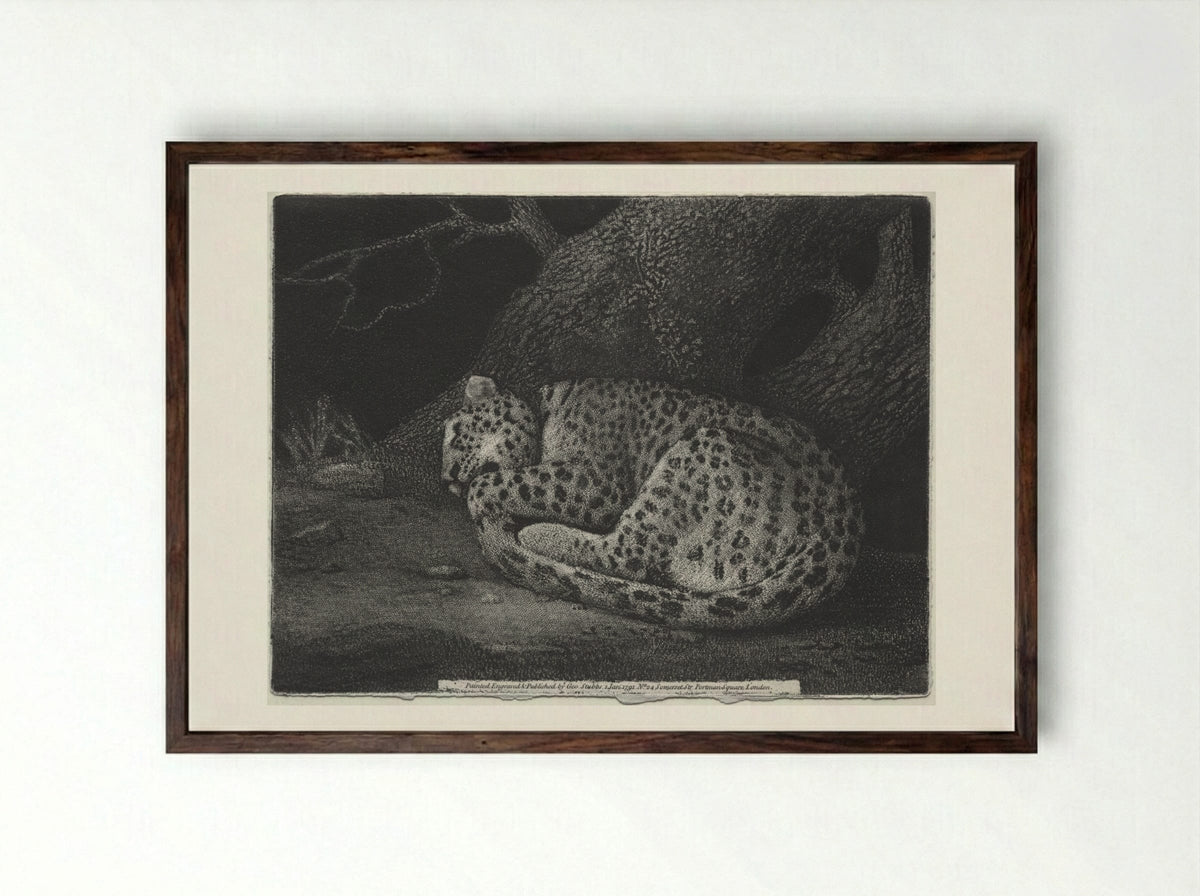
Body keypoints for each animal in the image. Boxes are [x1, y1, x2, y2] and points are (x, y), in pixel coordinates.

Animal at [441, 375, 862, 631]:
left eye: (456, 433)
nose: (446, 481)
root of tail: (840, 535)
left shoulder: (596, 481)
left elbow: (499, 480)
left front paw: (480, 498)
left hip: (699, 451)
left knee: (628, 554)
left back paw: (536, 534)